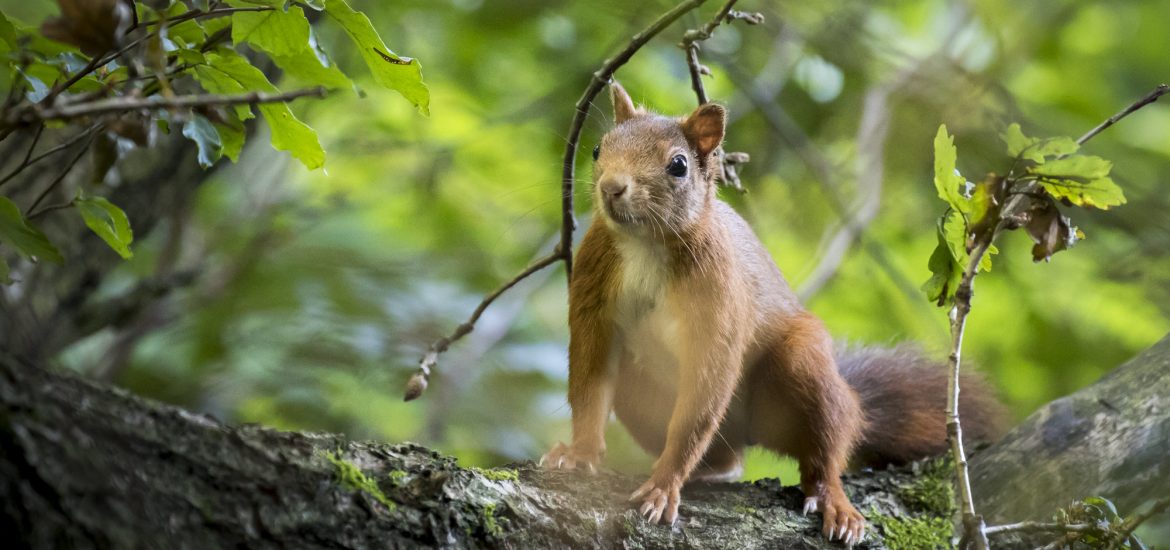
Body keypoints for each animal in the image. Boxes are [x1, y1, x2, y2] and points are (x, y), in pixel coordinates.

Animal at [540, 81, 1006, 545]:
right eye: (598, 148)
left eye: (678, 165)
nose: (611, 187)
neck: (646, 243)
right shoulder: (594, 294)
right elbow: (590, 383)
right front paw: (579, 453)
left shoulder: (719, 301)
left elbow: (700, 404)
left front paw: (663, 485)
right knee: (727, 458)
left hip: (804, 368)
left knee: (828, 444)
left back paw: (834, 500)